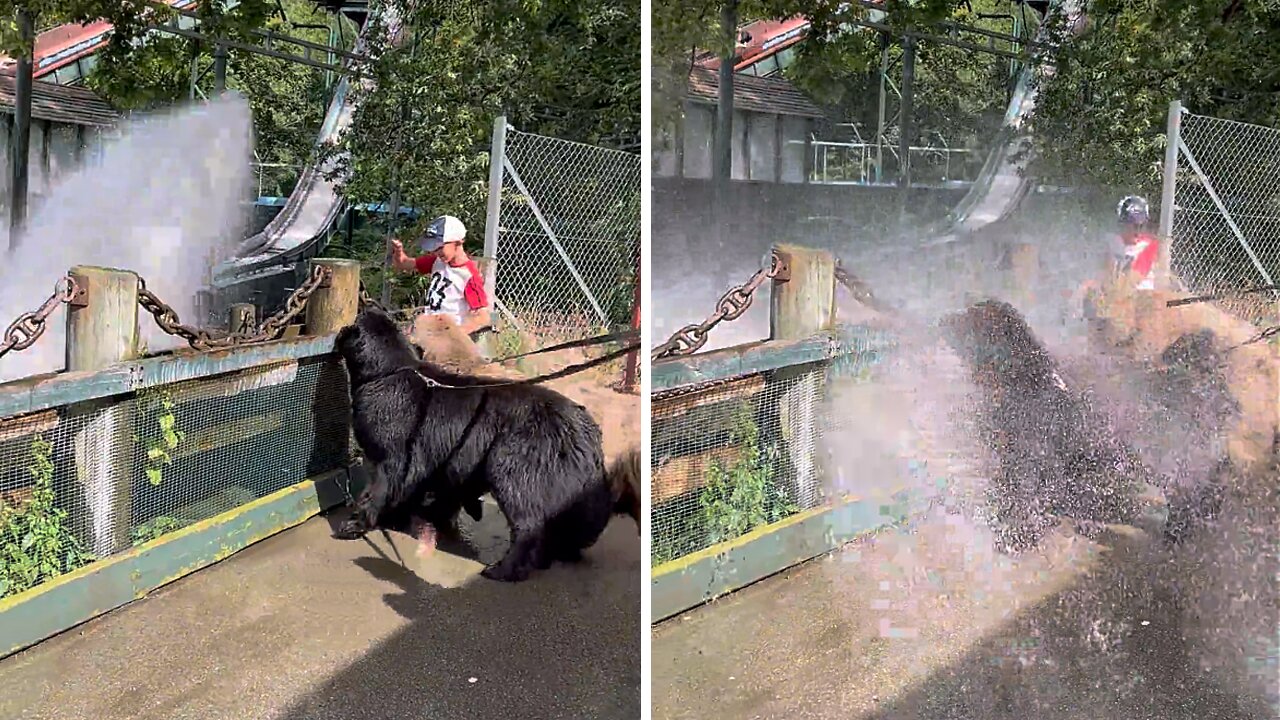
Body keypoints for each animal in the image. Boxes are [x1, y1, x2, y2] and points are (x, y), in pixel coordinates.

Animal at [327, 304, 632, 579]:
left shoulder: (389, 458)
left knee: (528, 526)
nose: (368, 304)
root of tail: (584, 427)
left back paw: (503, 570)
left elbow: (376, 492)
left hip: (512, 473)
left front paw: (355, 525)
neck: (390, 372)